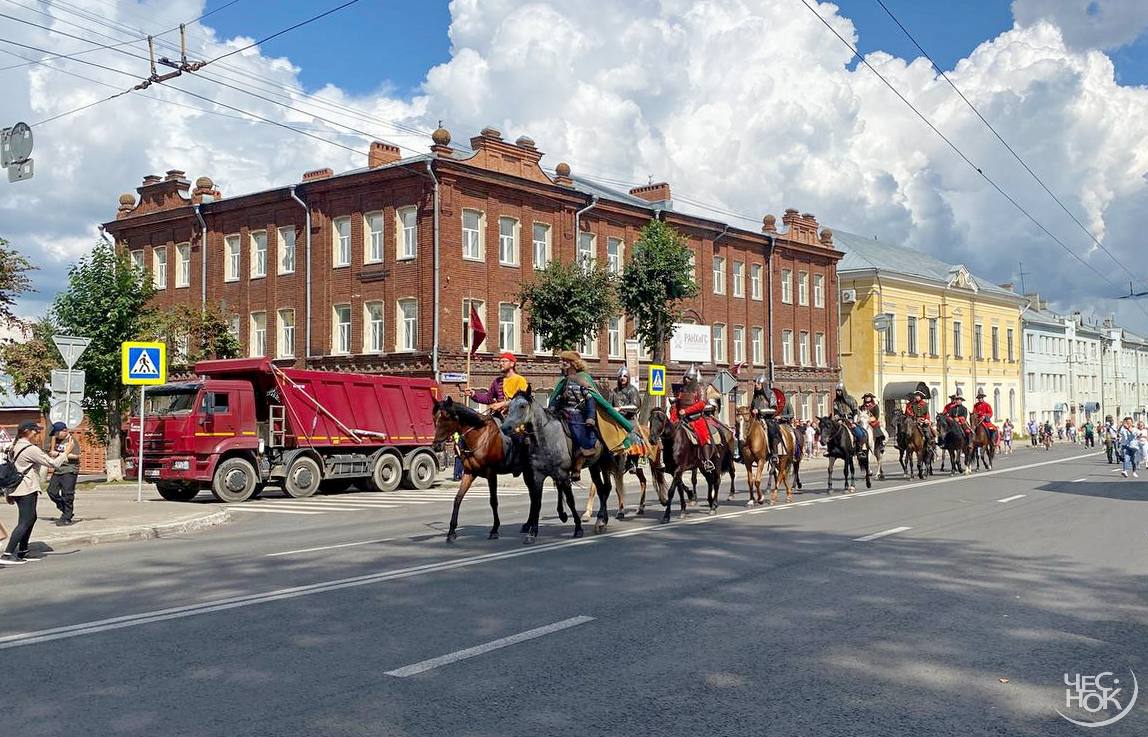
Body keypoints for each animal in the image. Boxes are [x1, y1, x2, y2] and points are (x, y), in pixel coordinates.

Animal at [431, 394, 521, 539]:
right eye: (435, 418)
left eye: (447, 418)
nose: (436, 446)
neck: (480, 437)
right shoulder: (469, 473)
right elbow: (458, 498)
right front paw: (451, 531)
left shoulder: (491, 474)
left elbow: (493, 501)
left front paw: (494, 529)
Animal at [505, 385, 624, 539]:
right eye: (509, 406)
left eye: (522, 406)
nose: (505, 428)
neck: (546, 437)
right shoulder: (537, 476)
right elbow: (537, 502)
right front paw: (532, 532)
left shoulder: (562, 474)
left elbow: (570, 500)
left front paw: (578, 528)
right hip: (593, 466)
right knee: (601, 489)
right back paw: (602, 520)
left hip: (603, 463)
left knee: (606, 488)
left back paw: (600, 520)